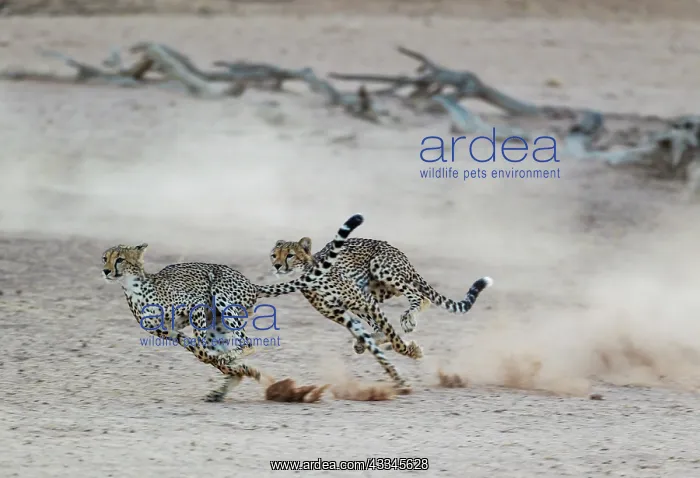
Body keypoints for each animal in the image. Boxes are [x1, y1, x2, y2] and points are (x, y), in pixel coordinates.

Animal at [102, 213, 376, 402]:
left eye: (120, 259)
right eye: (105, 258)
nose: (105, 270)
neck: (135, 287)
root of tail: (250, 284)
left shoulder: (195, 305)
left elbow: (203, 348)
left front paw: (230, 364)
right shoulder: (168, 332)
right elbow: (199, 351)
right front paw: (235, 369)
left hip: (223, 299)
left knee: (247, 343)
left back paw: (232, 362)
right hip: (218, 325)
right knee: (225, 349)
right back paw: (227, 381)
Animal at [269, 236, 493, 355]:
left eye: (290, 255)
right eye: (274, 255)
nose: (277, 265)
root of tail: (397, 251)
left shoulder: (360, 298)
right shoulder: (344, 306)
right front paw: (370, 341)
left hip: (381, 267)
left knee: (421, 297)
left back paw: (408, 319)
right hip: (373, 292)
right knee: (381, 322)